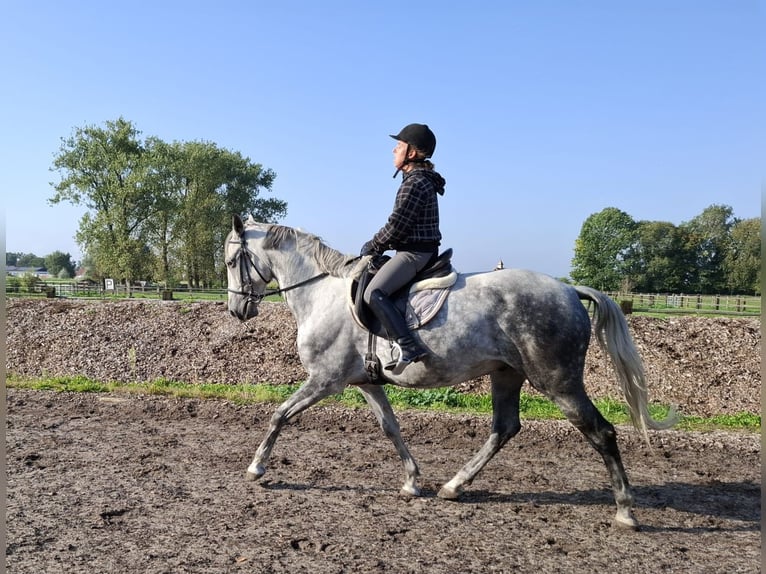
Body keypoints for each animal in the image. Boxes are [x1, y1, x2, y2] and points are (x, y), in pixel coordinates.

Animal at [224, 215, 680, 532]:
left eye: (231, 260)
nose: (237, 310)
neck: (321, 292)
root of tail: (570, 290)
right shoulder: (365, 382)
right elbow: (391, 428)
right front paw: (412, 481)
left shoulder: (326, 379)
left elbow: (280, 414)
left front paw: (257, 469)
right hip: (507, 374)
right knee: (504, 427)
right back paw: (454, 486)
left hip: (558, 381)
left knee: (600, 432)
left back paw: (625, 511)